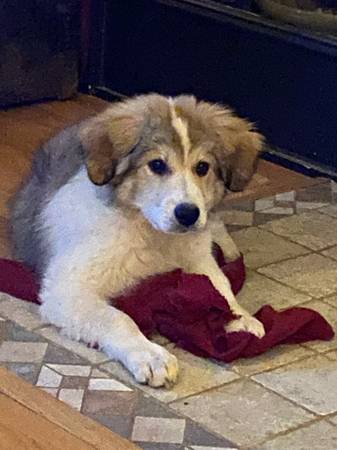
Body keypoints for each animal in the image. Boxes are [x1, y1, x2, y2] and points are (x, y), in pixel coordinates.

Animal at [10, 94, 266, 386]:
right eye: (157, 165)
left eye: (203, 167)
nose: (188, 214)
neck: (152, 234)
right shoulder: (68, 287)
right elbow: (117, 318)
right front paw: (152, 357)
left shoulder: (196, 256)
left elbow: (220, 284)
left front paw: (240, 316)